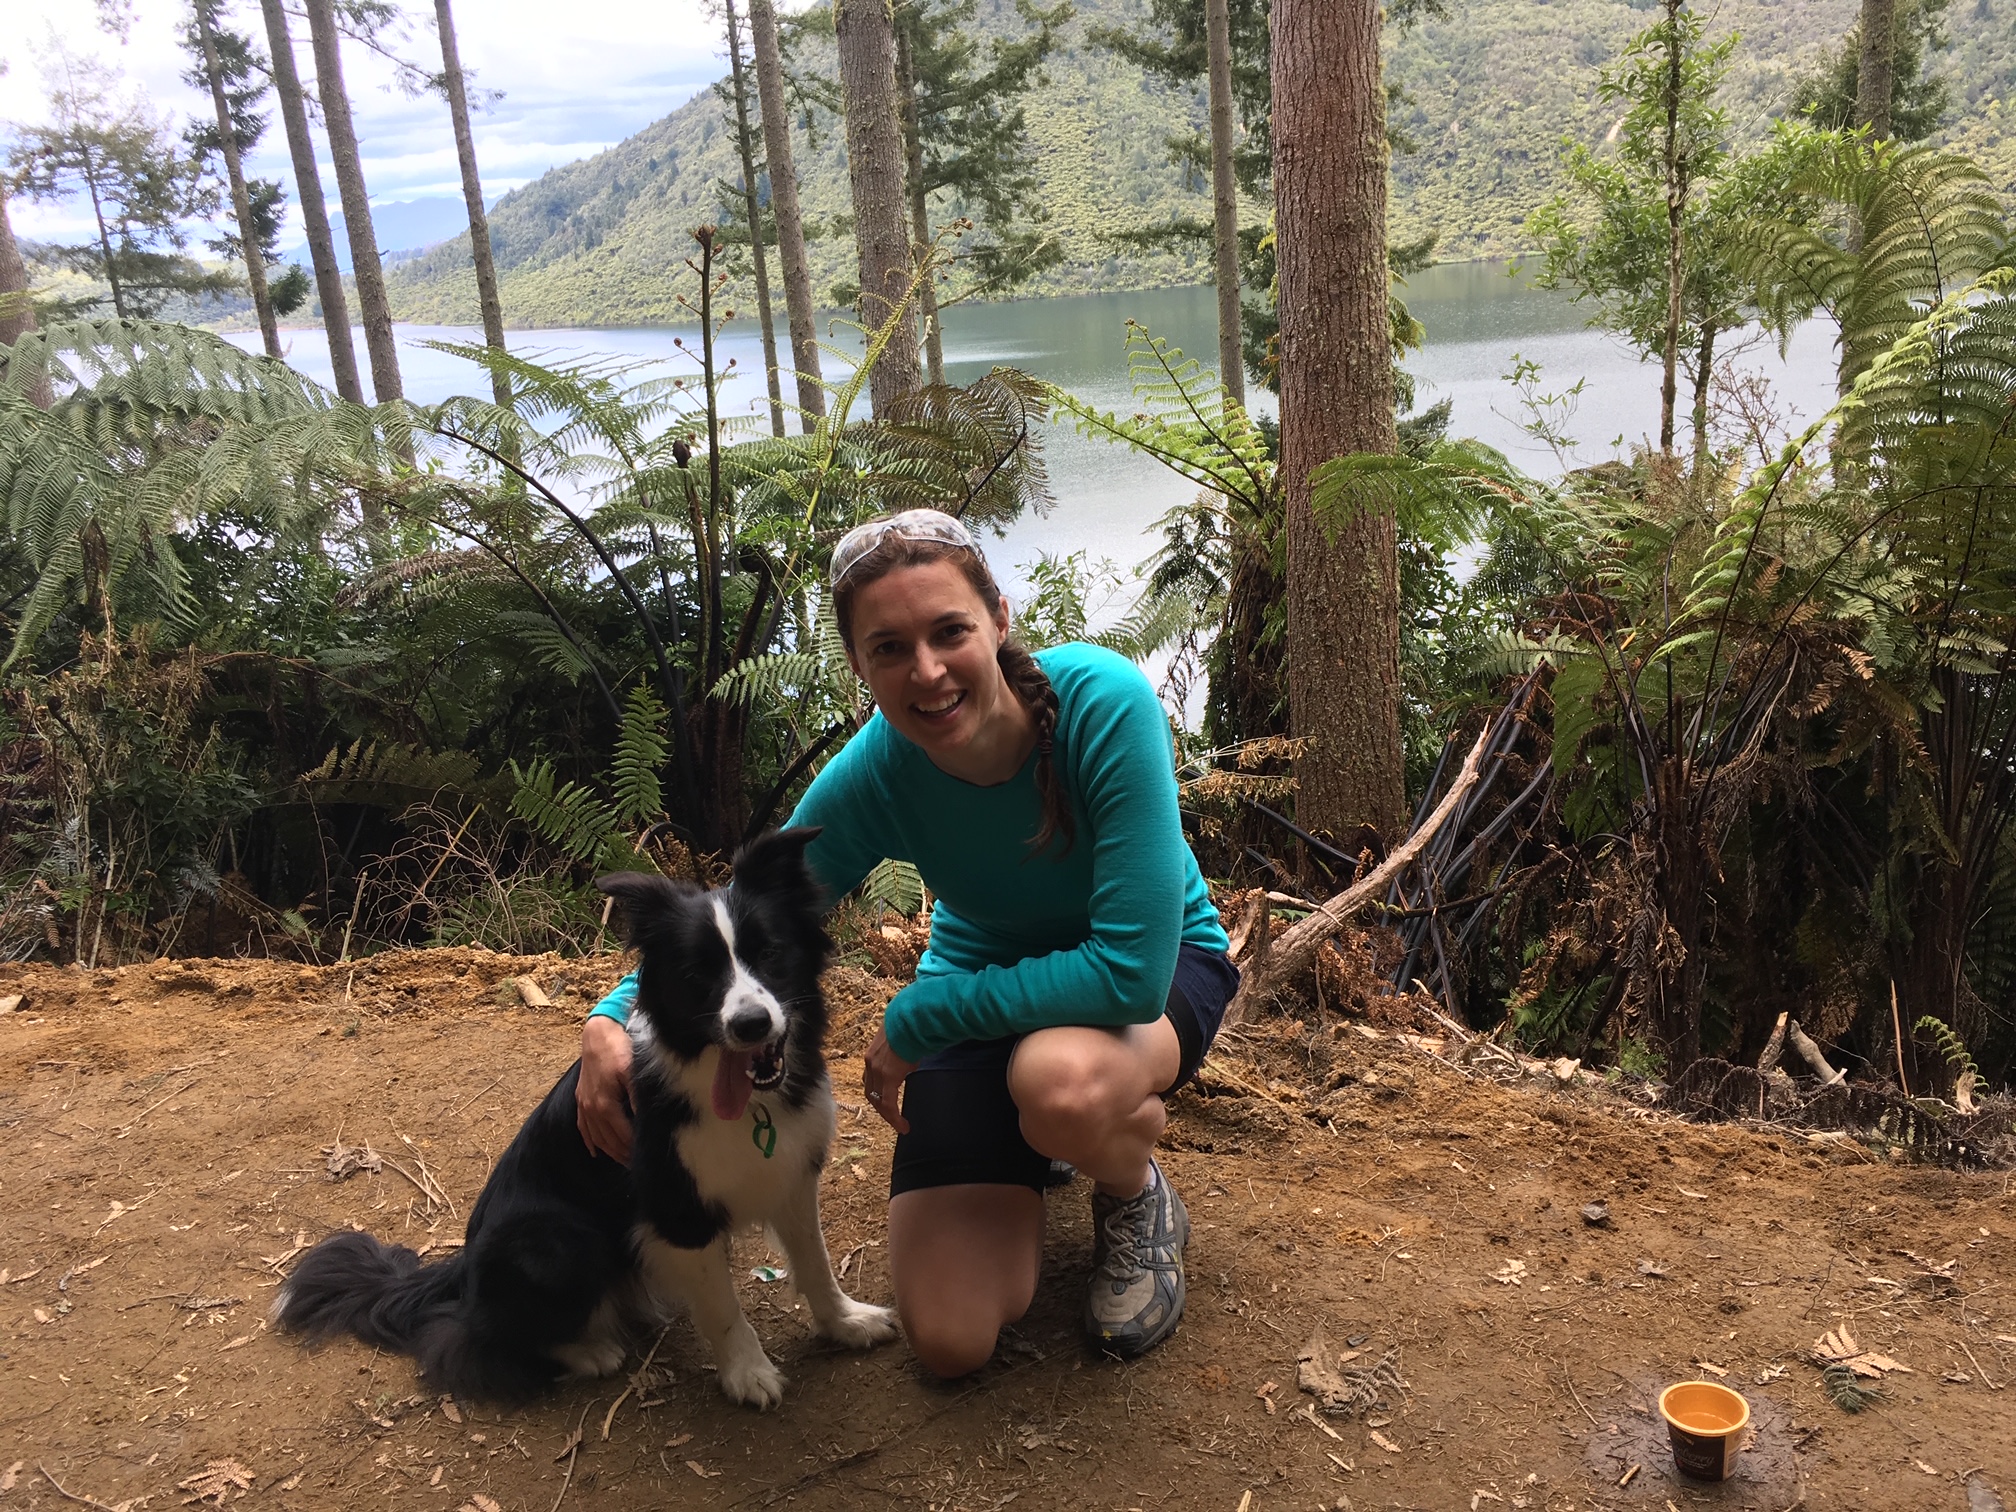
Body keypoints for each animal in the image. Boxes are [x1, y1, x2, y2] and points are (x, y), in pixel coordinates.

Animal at [276, 830, 899, 1411]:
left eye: (769, 952)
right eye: (698, 973)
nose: (750, 1025)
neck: (750, 1105)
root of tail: (463, 1270)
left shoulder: (792, 1176)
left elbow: (816, 1264)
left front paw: (846, 1324)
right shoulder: (676, 1212)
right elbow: (724, 1308)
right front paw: (747, 1374)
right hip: (559, 1238)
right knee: (472, 1337)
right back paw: (589, 1350)